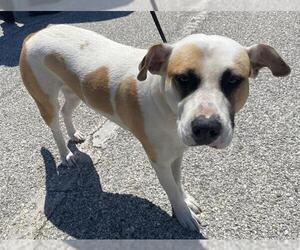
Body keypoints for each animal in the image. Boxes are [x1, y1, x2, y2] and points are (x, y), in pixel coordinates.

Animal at [19, 24, 290, 231]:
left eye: (234, 80)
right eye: (183, 78)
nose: (205, 128)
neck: (168, 110)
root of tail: (35, 33)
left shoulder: (177, 152)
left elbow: (178, 181)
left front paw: (185, 199)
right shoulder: (158, 160)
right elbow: (170, 187)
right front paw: (183, 214)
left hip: (76, 91)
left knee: (66, 111)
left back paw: (73, 134)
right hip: (45, 99)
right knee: (55, 125)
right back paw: (65, 154)